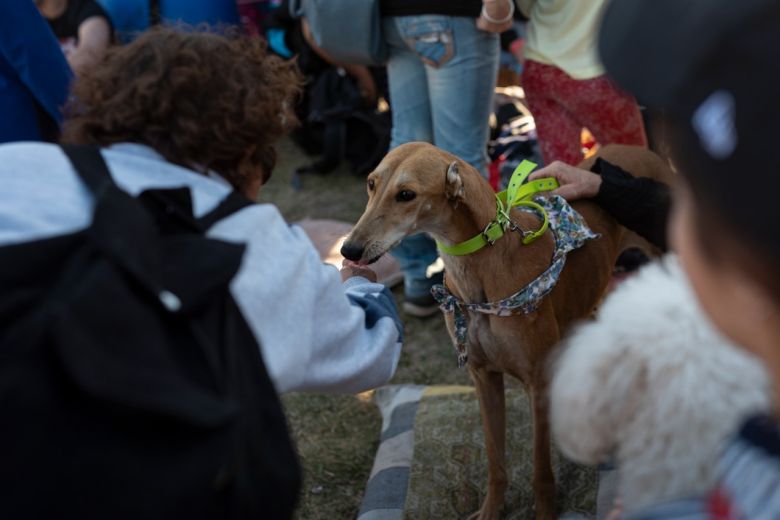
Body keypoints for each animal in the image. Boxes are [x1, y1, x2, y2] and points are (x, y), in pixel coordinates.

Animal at [344, 143, 672, 520]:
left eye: (406, 194)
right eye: (371, 183)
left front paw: (544, 512)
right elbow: (494, 456)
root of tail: (638, 149)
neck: (481, 270)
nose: (349, 249)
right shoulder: (483, 378)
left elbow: (541, 467)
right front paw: (492, 509)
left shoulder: (538, 383)